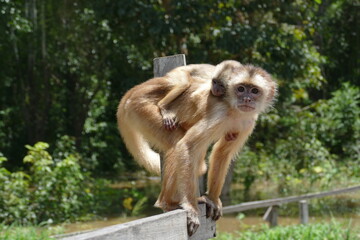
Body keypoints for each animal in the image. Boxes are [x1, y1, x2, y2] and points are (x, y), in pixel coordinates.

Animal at [116, 60, 278, 236]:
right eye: (241, 88)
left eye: (254, 91)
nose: (246, 99)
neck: (233, 109)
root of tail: (132, 92)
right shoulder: (220, 113)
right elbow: (187, 146)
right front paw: (191, 208)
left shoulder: (248, 122)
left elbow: (222, 153)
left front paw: (212, 198)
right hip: (141, 108)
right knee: (177, 143)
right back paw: (168, 202)